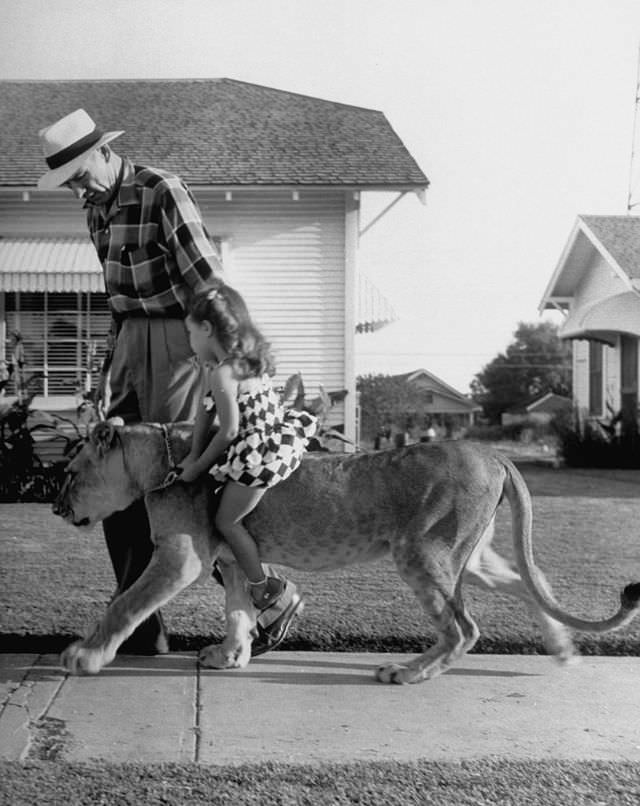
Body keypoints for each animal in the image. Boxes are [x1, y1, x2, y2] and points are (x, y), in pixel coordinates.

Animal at [53, 420, 640, 684]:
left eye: (72, 473)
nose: (56, 507)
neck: (160, 461)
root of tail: (494, 452)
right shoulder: (229, 551)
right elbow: (237, 609)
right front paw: (230, 657)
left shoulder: (182, 557)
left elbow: (124, 604)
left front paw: (85, 656)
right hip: (466, 558)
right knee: (525, 582)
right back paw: (562, 648)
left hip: (424, 552)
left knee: (464, 628)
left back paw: (407, 672)